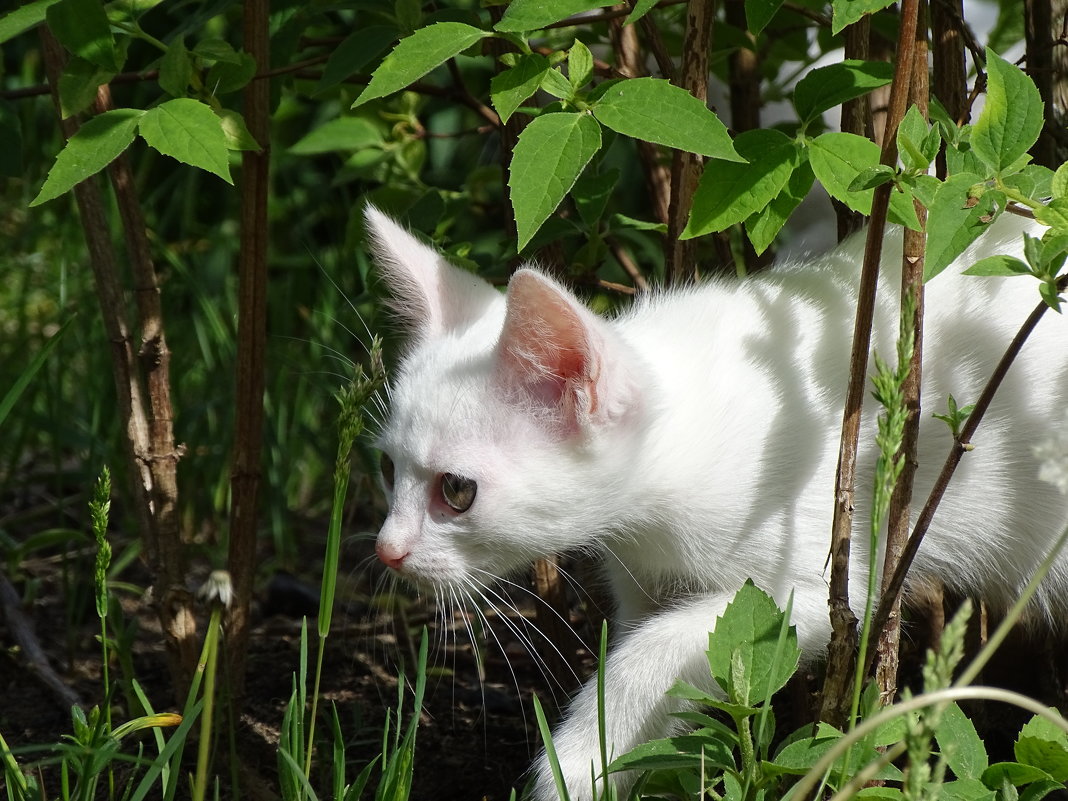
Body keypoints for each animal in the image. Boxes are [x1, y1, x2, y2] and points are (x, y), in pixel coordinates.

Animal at [365, 208, 1068, 801]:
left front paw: (573, 766)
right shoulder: (642, 578)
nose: (387, 550)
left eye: (457, 491)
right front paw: (623, 762)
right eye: (388, 468)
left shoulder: (813, 581)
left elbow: (657, 651)